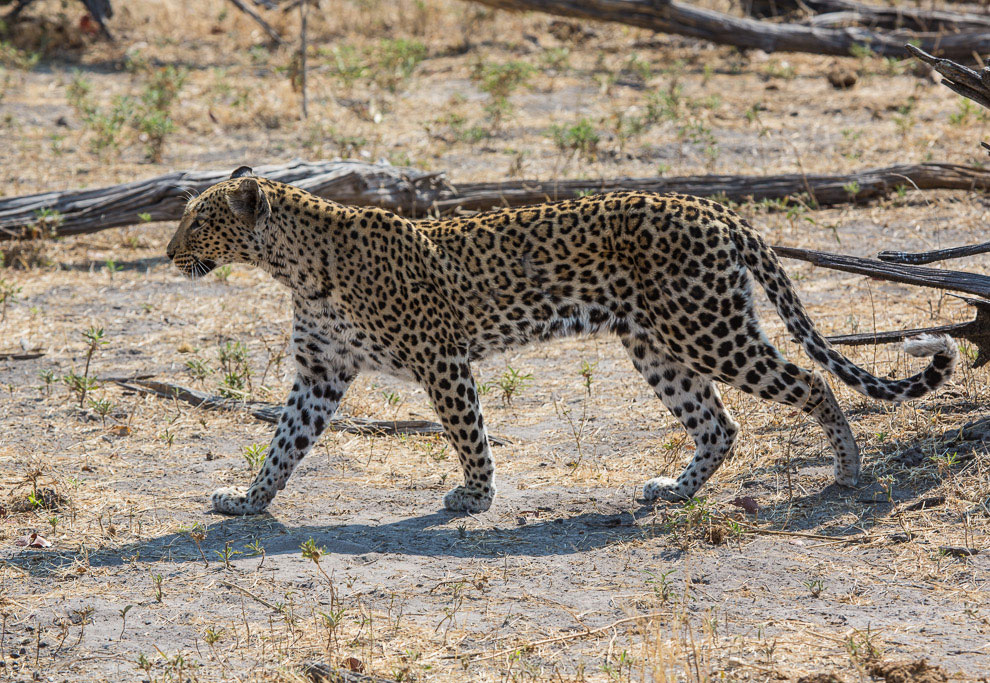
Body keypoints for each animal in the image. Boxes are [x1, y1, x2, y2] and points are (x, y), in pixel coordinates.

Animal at [167, 167, 956, 520]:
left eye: (198, 221)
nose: (170, 252)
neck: (297, 267)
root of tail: (718, 209)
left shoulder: (440, 359)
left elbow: (468, 432)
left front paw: (475, 495)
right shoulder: (320, 372)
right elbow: (284, 441)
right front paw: (248, 498)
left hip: (709, 328)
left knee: (811, 383)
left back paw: (848, 470)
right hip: (655, 344)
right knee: (719, 423)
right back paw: (675, 489)